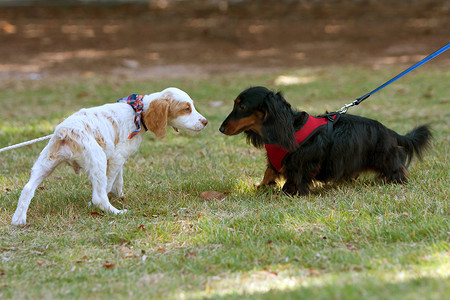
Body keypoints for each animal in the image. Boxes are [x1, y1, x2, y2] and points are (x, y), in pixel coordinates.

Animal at [11, 86, 207, 225]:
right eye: (186, 109)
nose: (205, 122)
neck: (138, 112)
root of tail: (65, 131)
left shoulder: (117, 158)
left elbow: (118, 180)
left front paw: (119, 195)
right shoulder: (116, 158)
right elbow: (109, 183)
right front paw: (111, 200)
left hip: (45, 162)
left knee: (27, 188)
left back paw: (18, 219)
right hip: (97, 160)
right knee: (98, 196)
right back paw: (116, 212)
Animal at [220, 85, 430, 196]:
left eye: (242, 106)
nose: (221, 128)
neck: (289, 128)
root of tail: (387, 130)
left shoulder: (300, 163)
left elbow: (295, 177)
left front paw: (289, 192)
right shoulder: (276, 161)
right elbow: (269, 171)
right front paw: (262, 185)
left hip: (384, 157)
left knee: (397, 169)